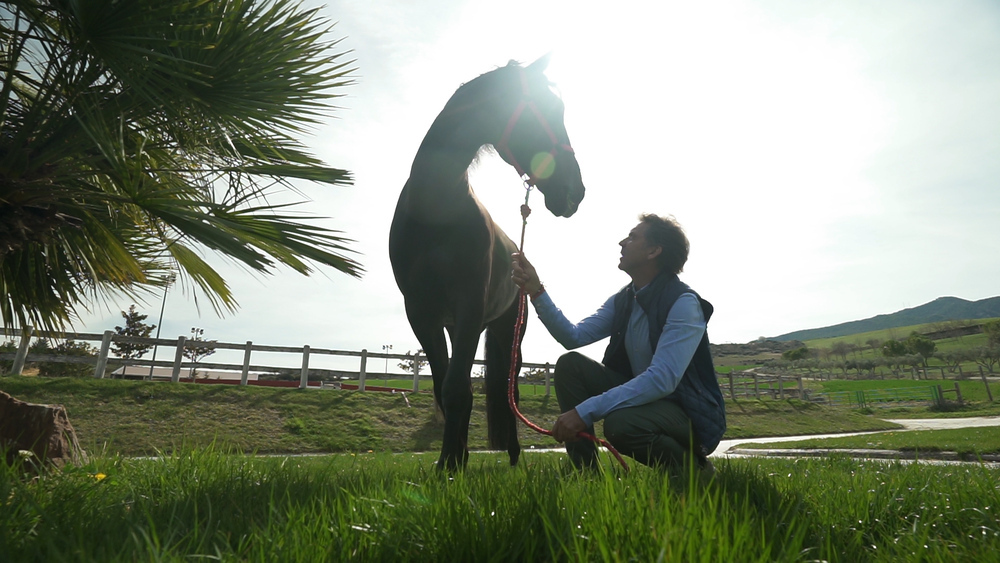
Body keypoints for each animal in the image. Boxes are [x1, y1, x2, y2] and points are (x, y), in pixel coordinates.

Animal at [386, 57, 584, 472]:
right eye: (546, 110)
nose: (575, 192)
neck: (436, 209)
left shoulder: (470, 307)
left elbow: (458, 388)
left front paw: (450, 464)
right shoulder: (422, 315)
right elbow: (445, 388)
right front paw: (452, 461)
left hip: (508, 332)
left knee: (509, 395)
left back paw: (513, 456)